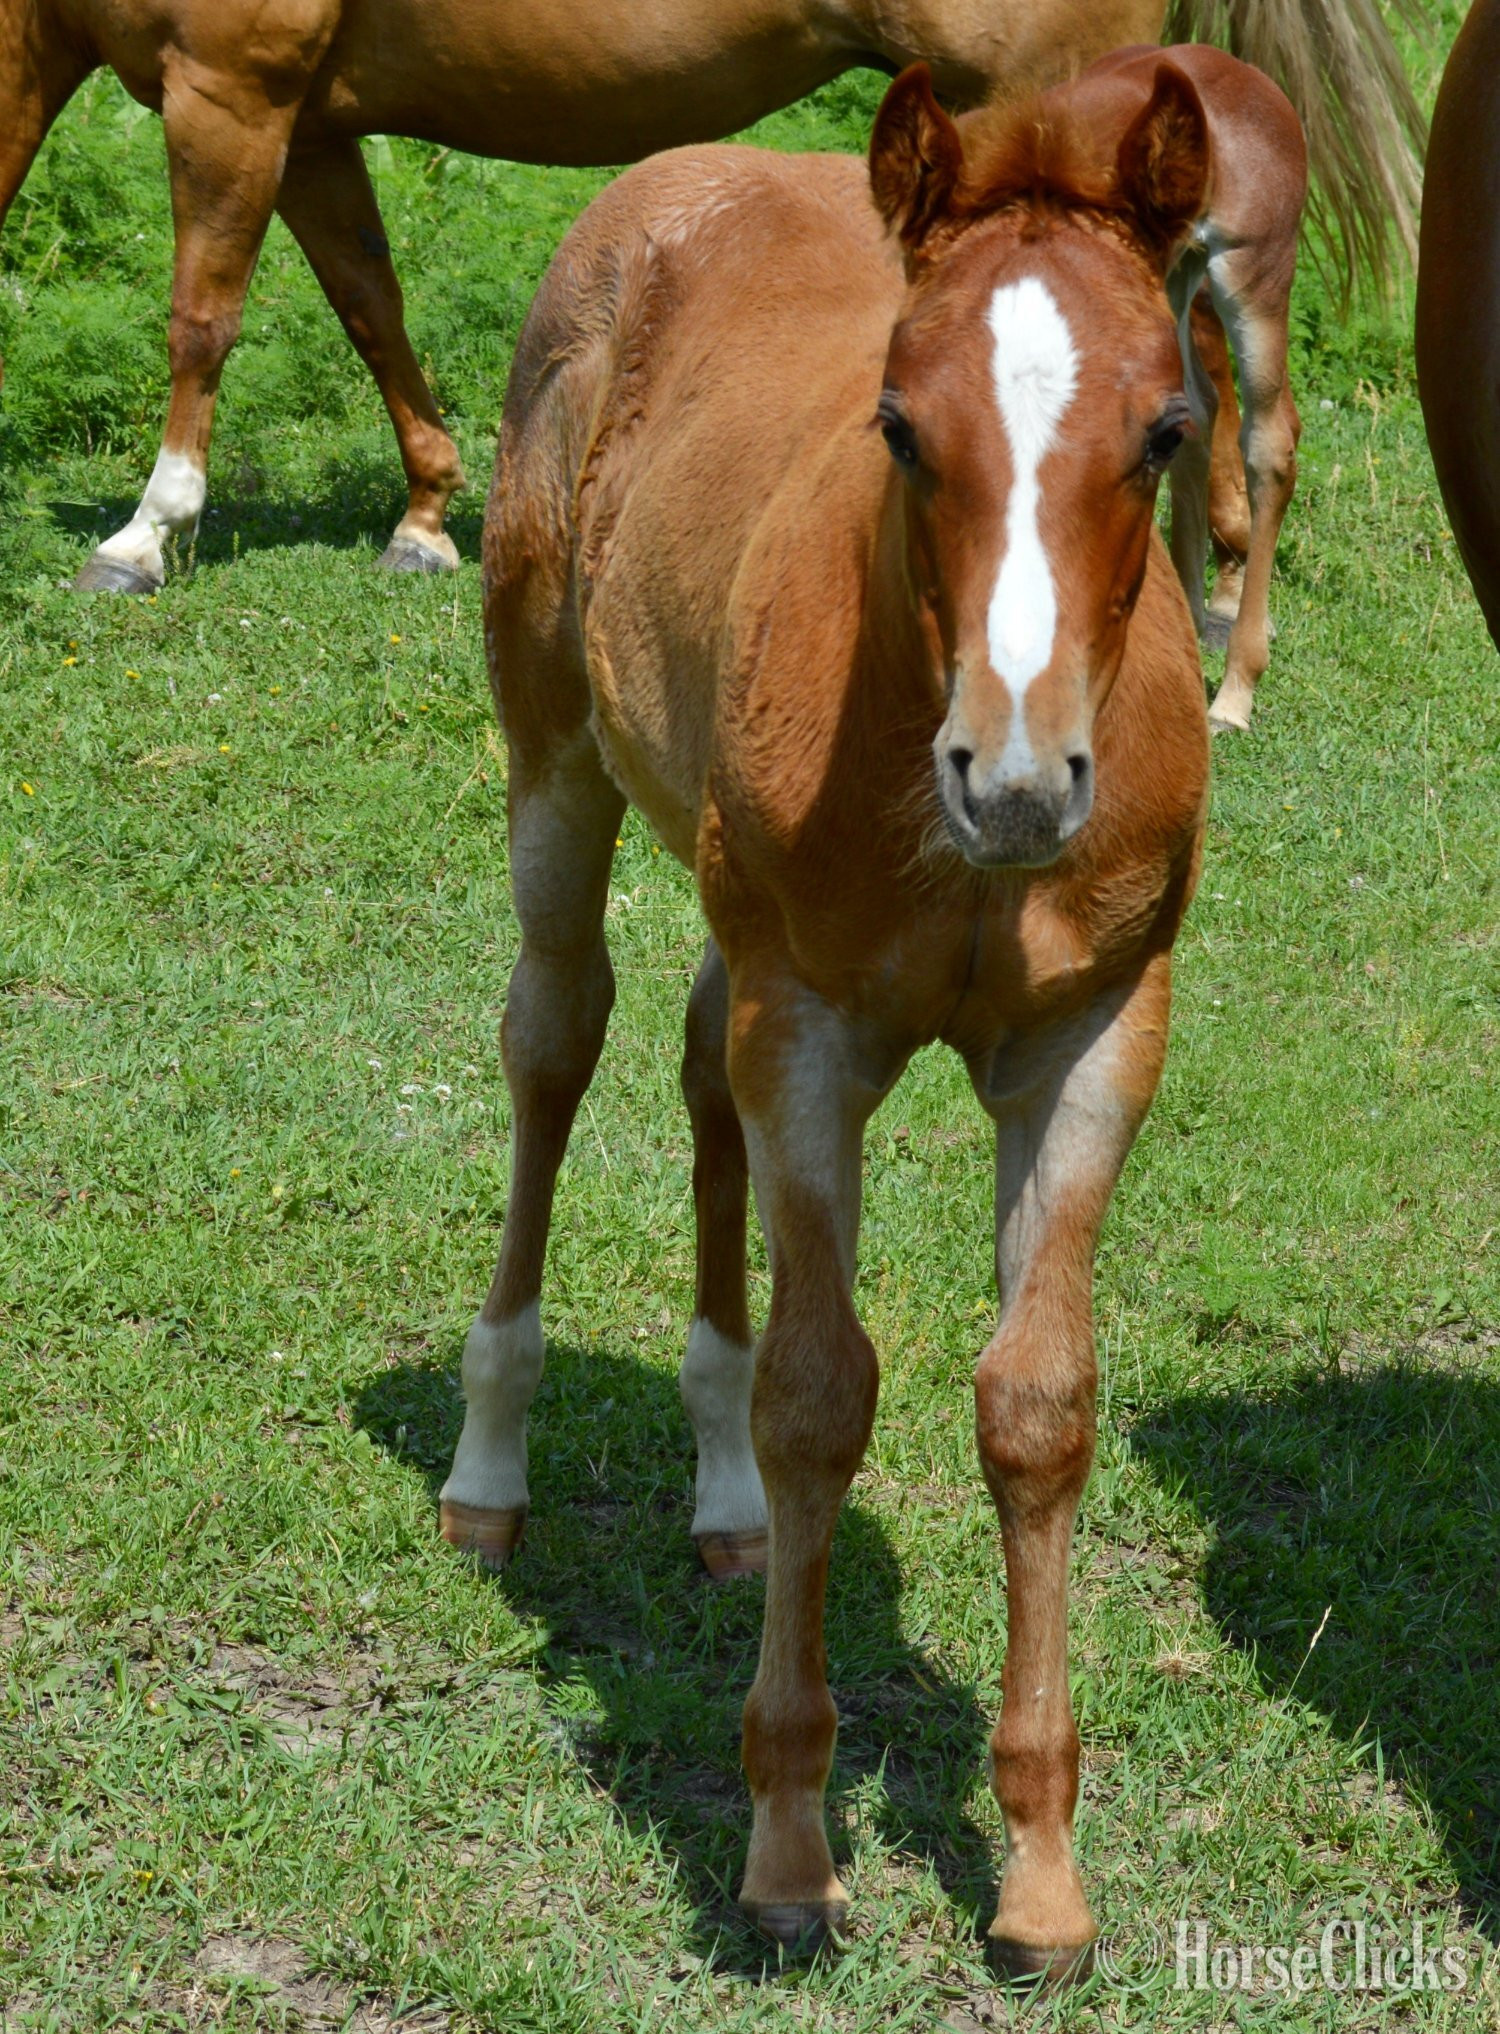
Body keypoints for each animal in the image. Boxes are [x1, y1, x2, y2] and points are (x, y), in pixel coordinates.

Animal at [0, 0, 1420, 597]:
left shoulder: (229, 94)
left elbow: (202, 317)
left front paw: (146, 531)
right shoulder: (311, 127)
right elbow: (370, 304)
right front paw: (427, 512)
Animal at [437, 59, 1213, 1977]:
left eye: (1166, 430)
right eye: (899, 427)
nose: (1016, 777)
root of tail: (678, 175)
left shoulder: (1095, 1037)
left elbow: (1038, 1402)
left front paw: (1041, 1874)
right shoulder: (815, 1033)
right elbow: (819, 1392)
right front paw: (788, 1850)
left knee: (685, 1055)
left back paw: (720, 1508)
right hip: (554, 756)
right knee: (555, 1037)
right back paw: (491, 1465)